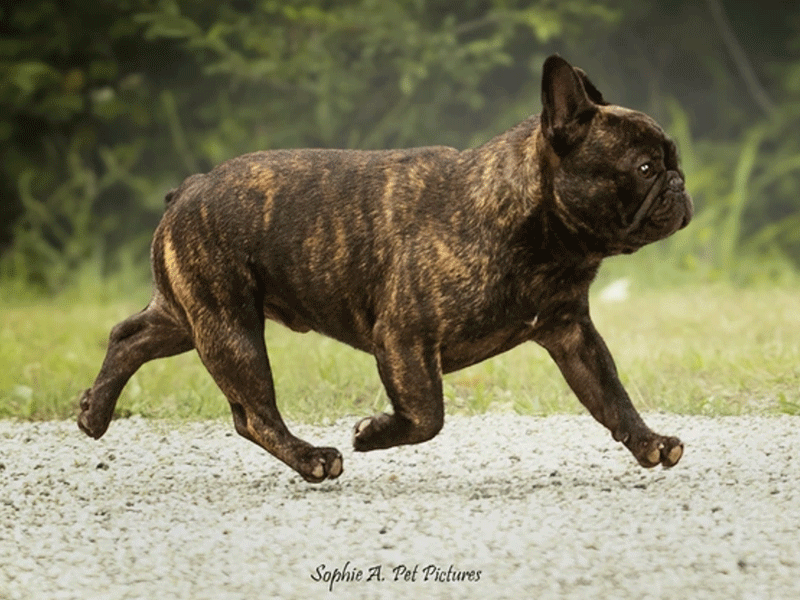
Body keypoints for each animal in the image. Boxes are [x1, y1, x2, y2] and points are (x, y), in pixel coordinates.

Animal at [79, 55, 693, 483]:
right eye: (644, 168)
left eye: (672, 160)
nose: (679, 183)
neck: (536, 231)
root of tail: (189, 188)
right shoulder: (404, 338)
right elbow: (427, 415)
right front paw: (372, 433)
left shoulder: (572, 335)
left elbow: (611, 395)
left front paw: (648, 443)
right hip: (229, 325)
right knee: (252, 413)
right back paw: (311, 458)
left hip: (190, 315)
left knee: (129, 335)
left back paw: (93, 412)